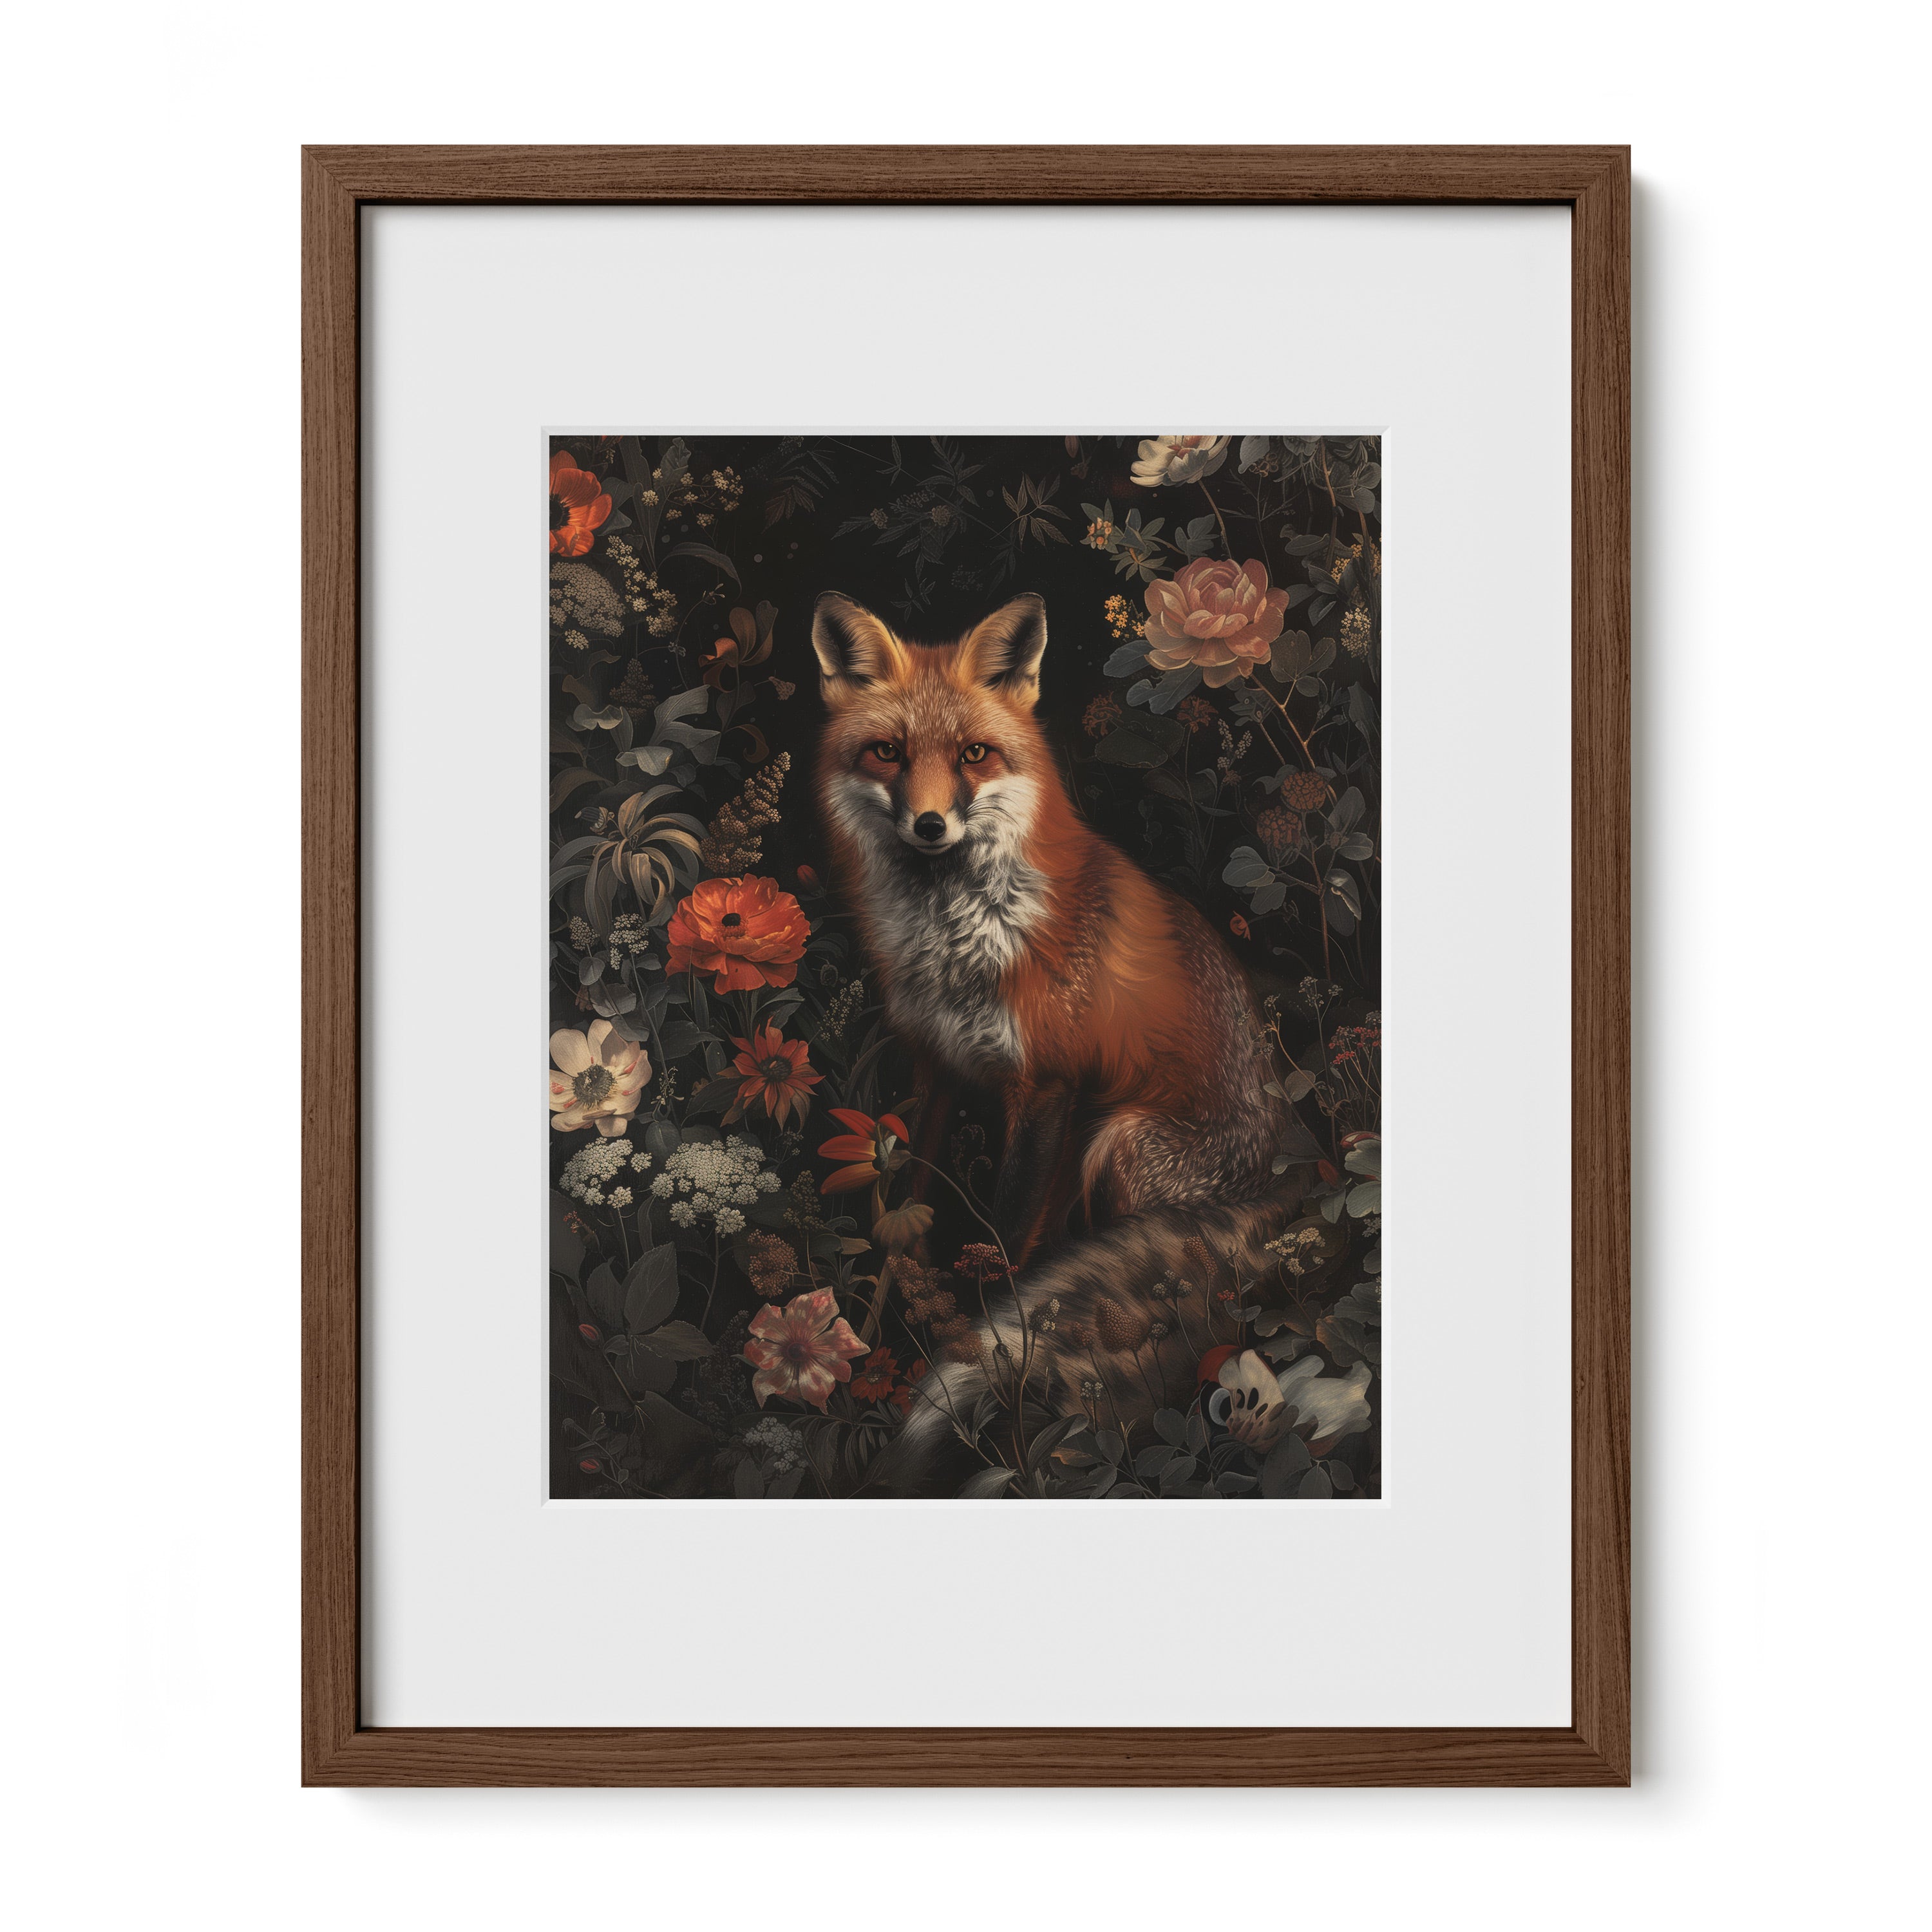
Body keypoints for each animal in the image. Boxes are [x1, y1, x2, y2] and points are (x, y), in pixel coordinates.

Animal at [809, 590, 1306, 1493]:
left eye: (973, 755)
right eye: (887, 752)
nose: (929, 825)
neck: (960, 940)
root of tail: (1303, 1163)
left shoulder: (1046, 1087)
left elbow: (1004, 1248)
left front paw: (967, 1351)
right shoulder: (935, 1069)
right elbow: (903, 1222)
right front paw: (868, 1339)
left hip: (1121, 1143)